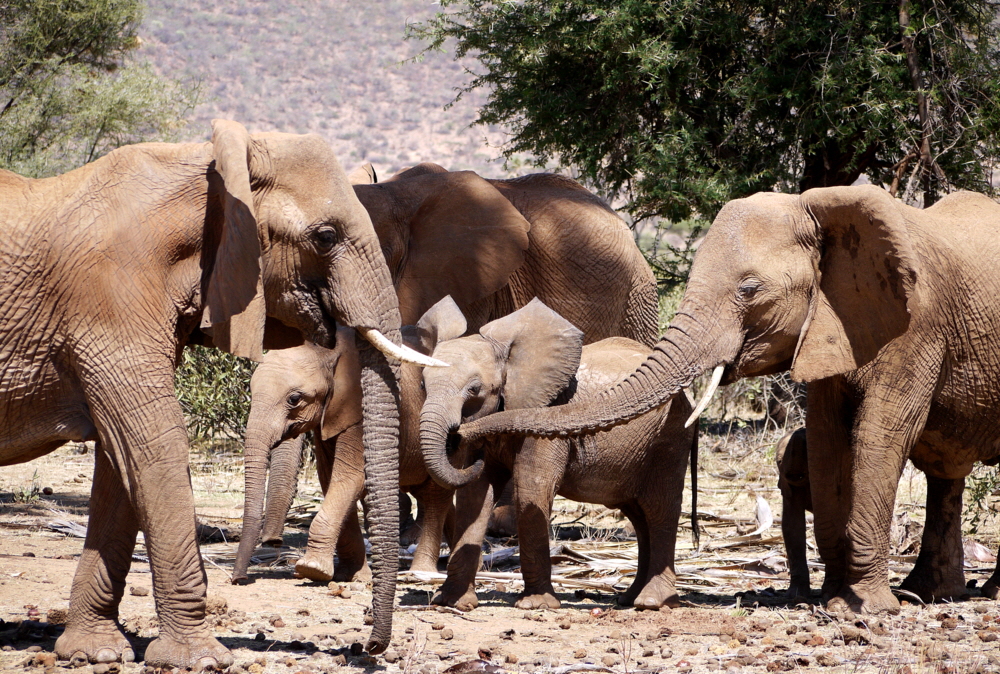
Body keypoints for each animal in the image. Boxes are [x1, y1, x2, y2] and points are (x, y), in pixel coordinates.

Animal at [0, 121, 428, 668]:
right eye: (326, 237)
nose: (366, 647)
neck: (211, 173)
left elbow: (121, 460)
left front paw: (94, 652)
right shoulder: (109, 301)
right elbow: (153, 444)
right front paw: (200, 659)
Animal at [420, 296, 696, 612]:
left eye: (474, 389)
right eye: (422, 384)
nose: (458, 435)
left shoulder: (544, 416)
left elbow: (531, 489)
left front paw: (536, 605)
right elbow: (474, 496)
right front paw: (450, 602)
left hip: (670, 434)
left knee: (659, 507)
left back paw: (652, 602)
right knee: (638, 515)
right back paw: (629, 598)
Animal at [464, 185, 1000, 616]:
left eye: (749, 288)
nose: (464, 429)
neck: (820, 209)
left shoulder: (918, 327)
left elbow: (880, 436)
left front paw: (865, 607)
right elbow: (829, 440)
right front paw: (836, 599)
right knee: (946, 474)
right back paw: (934, 594)